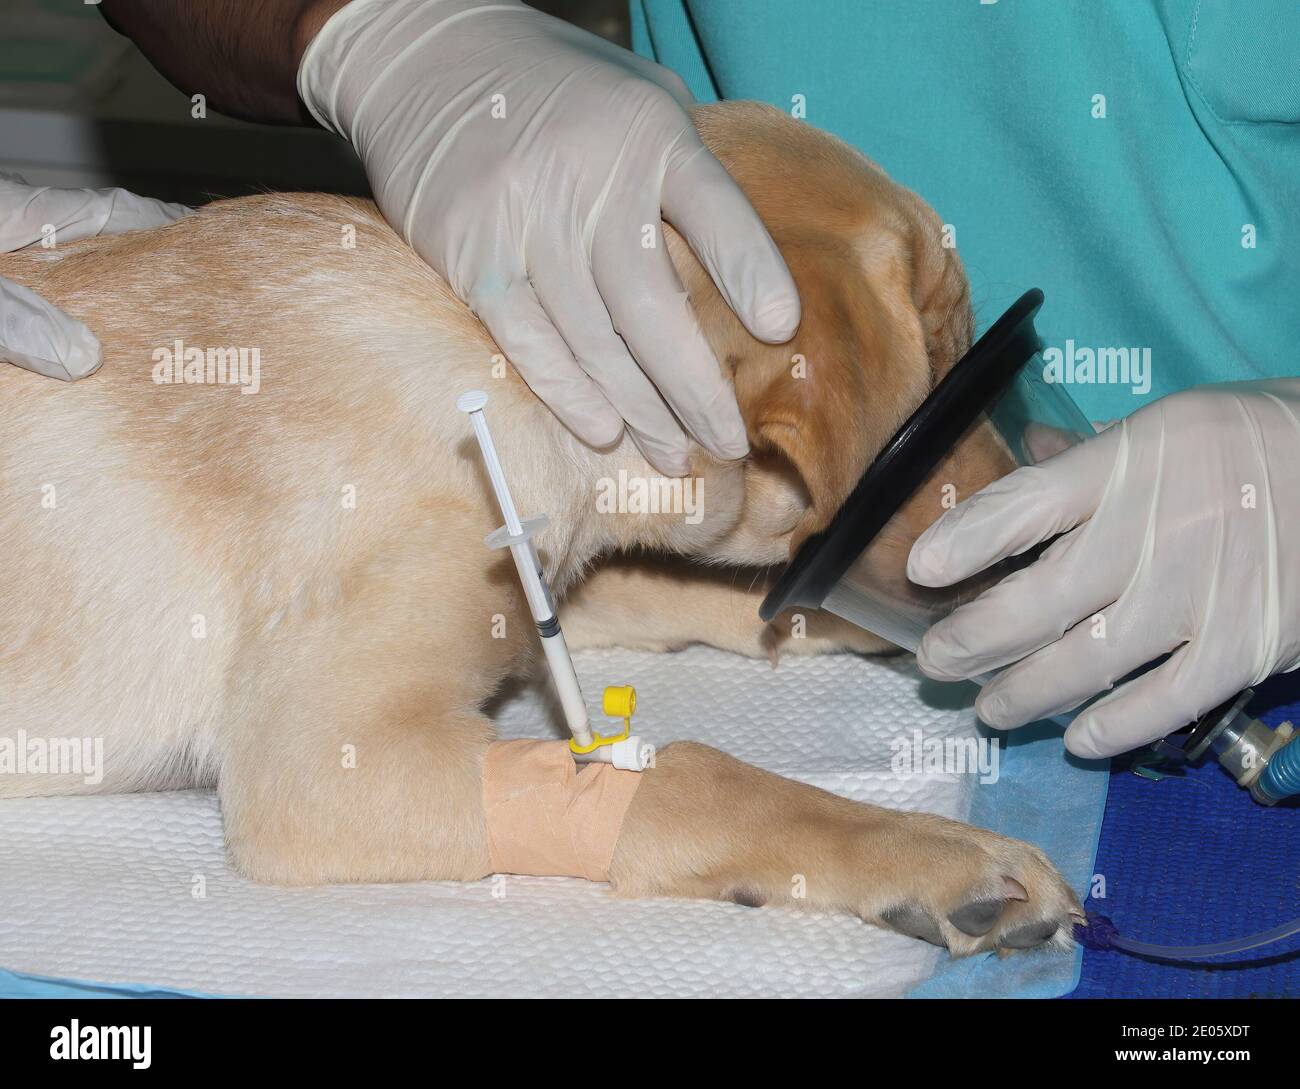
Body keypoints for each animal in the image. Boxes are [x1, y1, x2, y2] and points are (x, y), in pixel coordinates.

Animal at [0, 102, 1081, 956]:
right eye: (945, 359)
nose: (1037, 543)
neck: (507, 361)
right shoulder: (318, 760)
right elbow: (695, 774)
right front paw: (927, 854)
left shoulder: (551, 581)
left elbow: (690, 593)